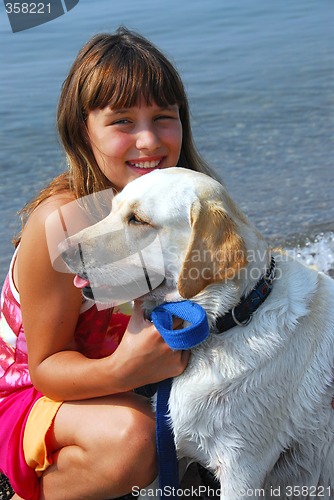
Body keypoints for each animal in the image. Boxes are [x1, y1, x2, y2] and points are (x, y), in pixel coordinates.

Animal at [59, 169, 334, 500]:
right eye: (112, 209)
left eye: (137, 220)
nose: (60, 251)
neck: (226, 321)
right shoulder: (166, 453)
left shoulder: (242, 469)